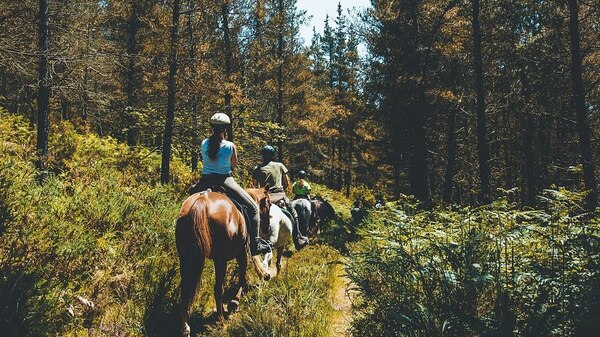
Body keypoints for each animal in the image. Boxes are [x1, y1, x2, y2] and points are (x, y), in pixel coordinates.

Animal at [175, 188, 270, 334]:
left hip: (185, 258)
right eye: (269, 204)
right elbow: (242, 276)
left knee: (185, 289)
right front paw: (235, 301)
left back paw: (185, 327)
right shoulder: (242, 251)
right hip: (220, 260)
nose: (267, 227)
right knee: (218, 288)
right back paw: (220, 320)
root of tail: (202, 200)